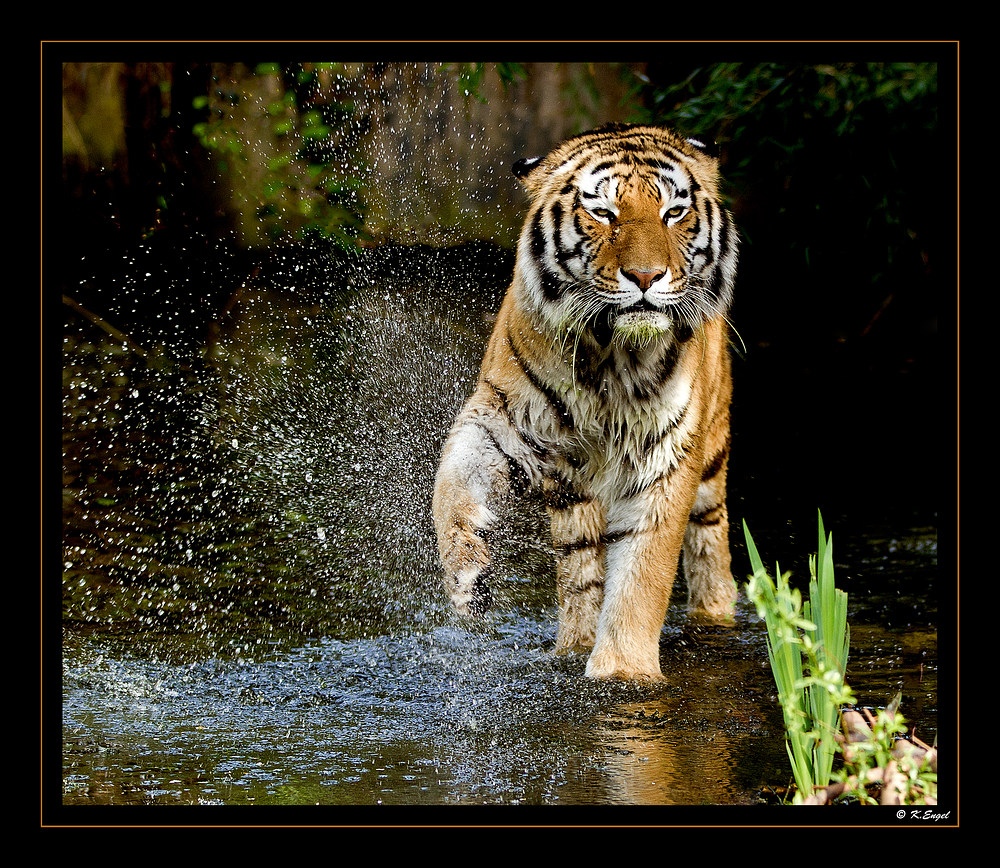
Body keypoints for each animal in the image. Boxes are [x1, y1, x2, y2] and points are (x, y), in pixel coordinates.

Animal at [432, 124, 744, 680]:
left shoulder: (664, 459)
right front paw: (468, 577)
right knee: (580, 569)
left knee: (711, 552)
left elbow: (642, 573)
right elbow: (450, 484)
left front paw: (623, 673)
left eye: (673, 212)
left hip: (710, 469)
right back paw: (571, 645)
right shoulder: (503, 417)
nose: (646, 277)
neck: (612, 358)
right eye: (604, 213)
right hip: (573, 493)